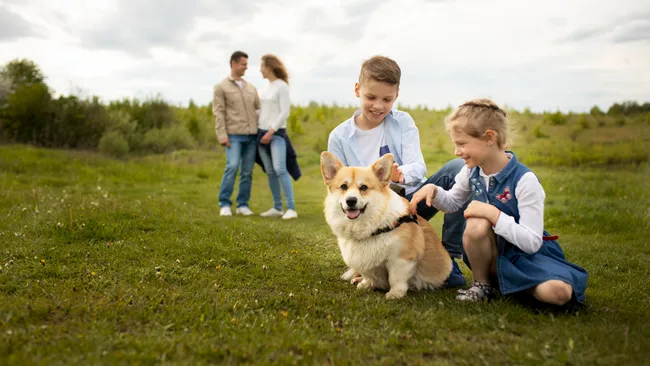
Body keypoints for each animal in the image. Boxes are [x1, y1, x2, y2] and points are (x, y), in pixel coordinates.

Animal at [318, 152, 450, 300]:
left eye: (364, 187)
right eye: (343, 187)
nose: (351, 201)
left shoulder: (401, 259)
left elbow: (396, 279)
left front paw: (395, 293)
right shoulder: (363, 261)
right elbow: (369, 276)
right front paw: (366, 284)